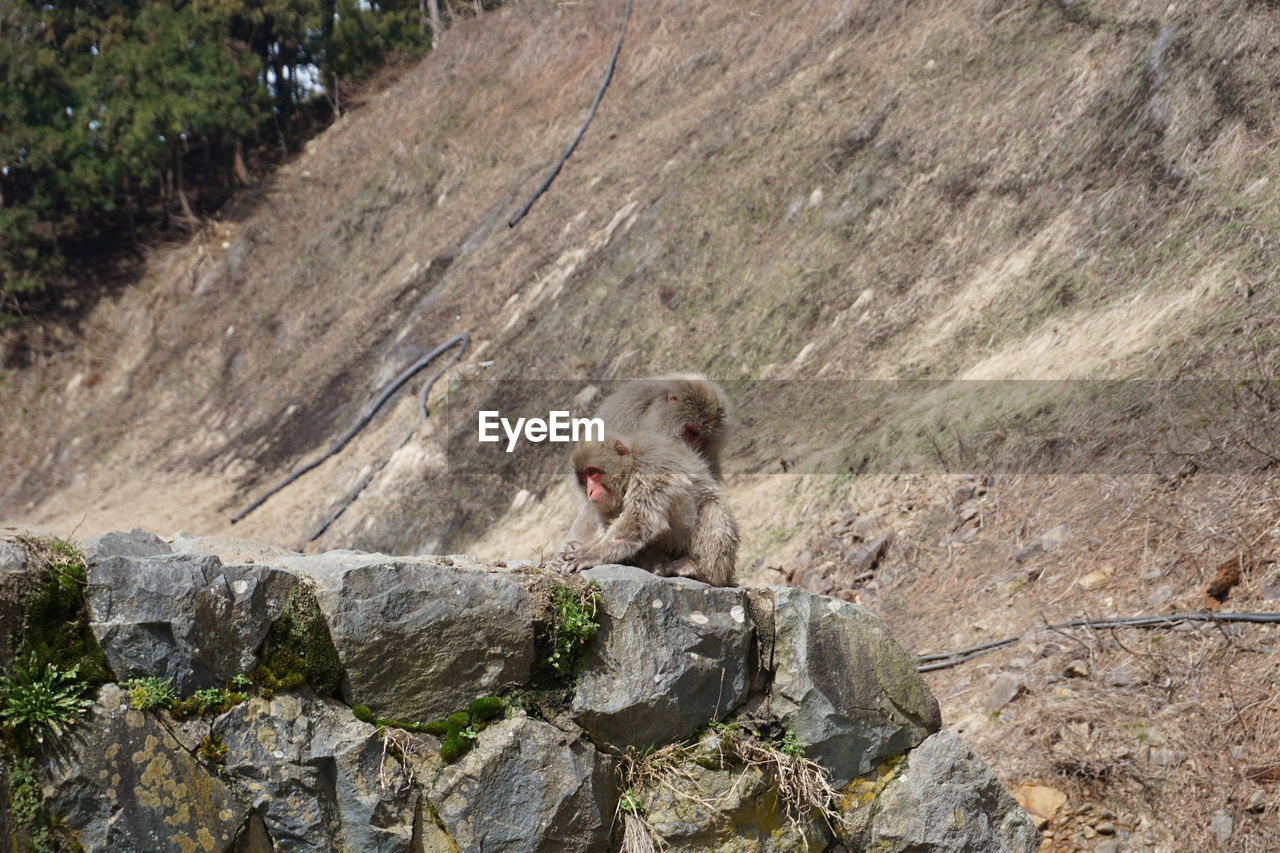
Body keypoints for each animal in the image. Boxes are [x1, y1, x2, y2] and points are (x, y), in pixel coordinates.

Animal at [552, 432, 742, 584]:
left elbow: (639, 520)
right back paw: (658, 565)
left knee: (711, 507)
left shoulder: (650, 465)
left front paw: (587, 556)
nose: (590, 491)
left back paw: (702, 573)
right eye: (584, 477)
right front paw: (577, 549)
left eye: (593, 472)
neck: (630, 468)